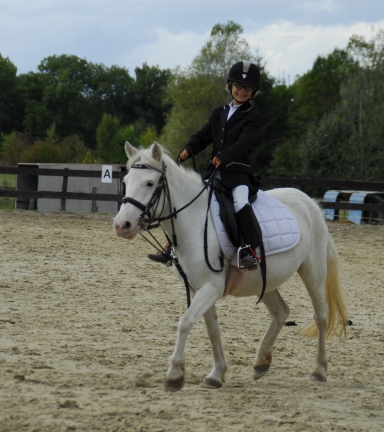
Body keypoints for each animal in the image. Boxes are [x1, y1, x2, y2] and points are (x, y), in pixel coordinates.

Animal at [114, 142, 348, 392]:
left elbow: (185, 323)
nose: (121, 225)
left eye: (150, 183)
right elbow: (212, 330)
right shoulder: (199, 289)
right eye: (126, 181)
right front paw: (216, 375)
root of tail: (311, 203)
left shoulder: (211, 287)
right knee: (281, 312)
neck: (194, 220)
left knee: (321, 316)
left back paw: (319, 370)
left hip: (313, 272)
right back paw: (261, 362)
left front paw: (174, 375)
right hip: (264, 280)